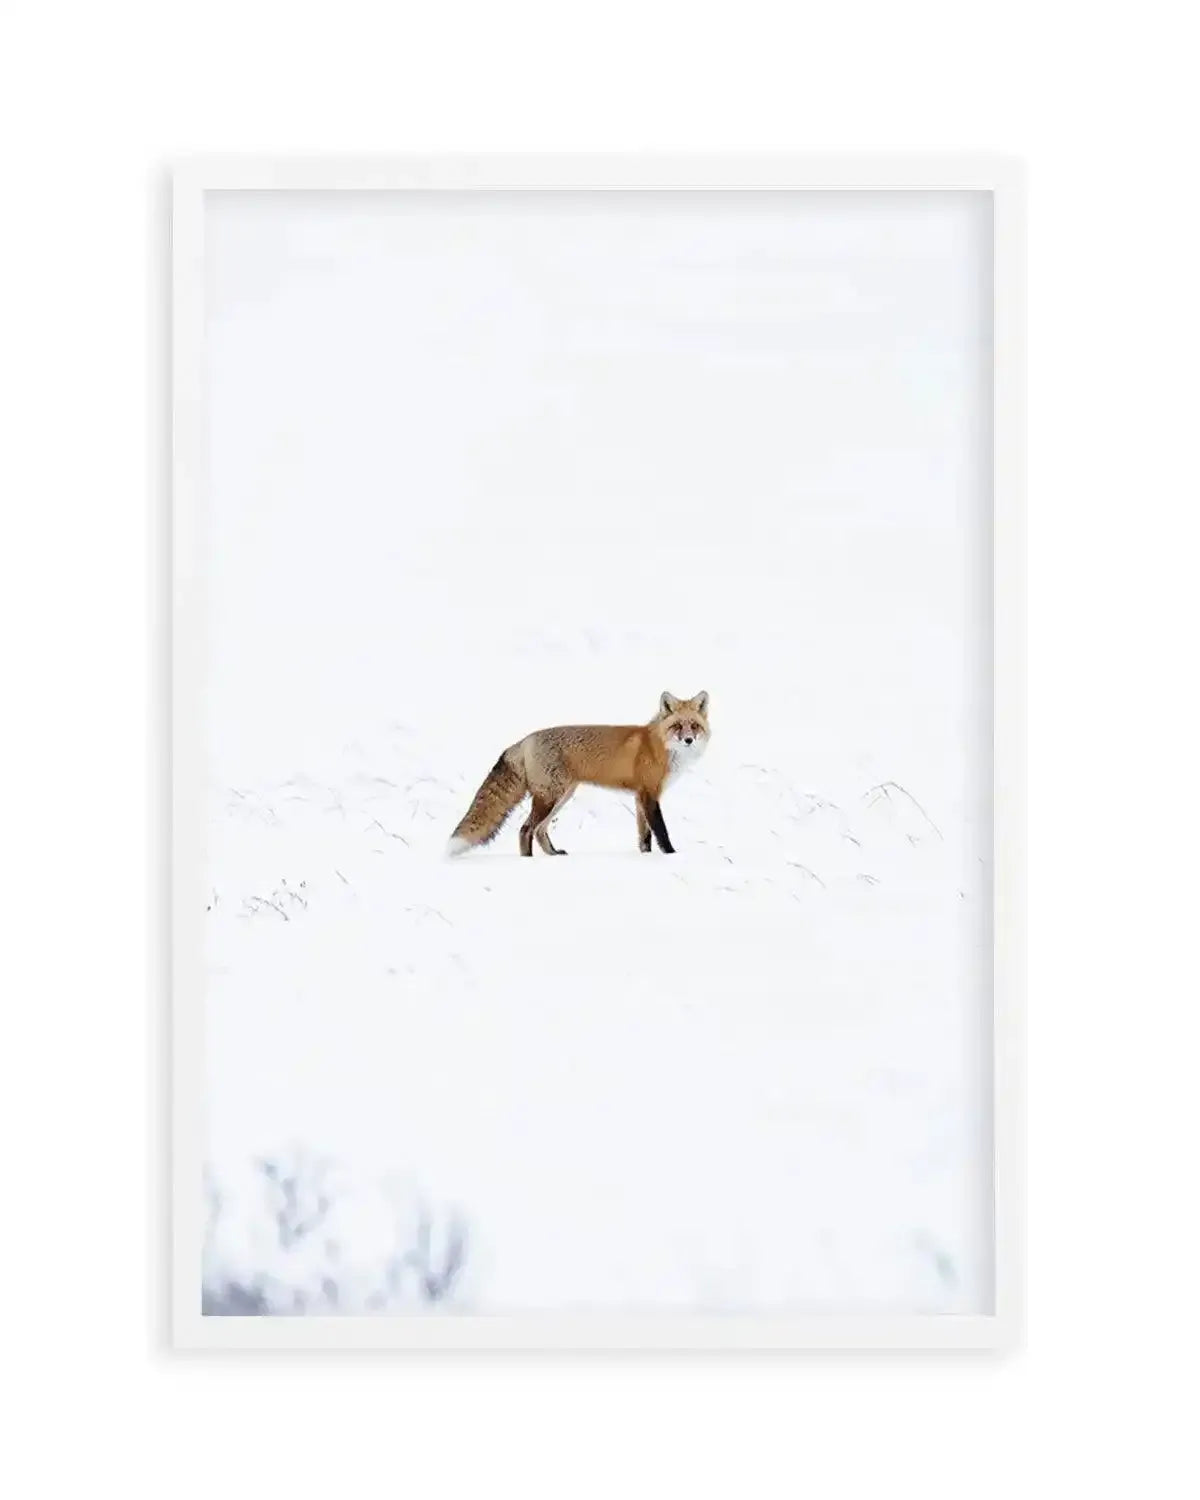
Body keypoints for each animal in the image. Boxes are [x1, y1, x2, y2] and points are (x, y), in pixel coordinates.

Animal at [447, 691, 710, 857]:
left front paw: (646, 857)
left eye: (694, 726)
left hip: (561, 797)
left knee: (539, 830)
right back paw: (528, 861)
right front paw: (671, 855)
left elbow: (644, 836)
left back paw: (553, 854)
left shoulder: (640, 797)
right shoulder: (649, 794)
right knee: (526, 829)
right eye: (677, 726)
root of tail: (525, 740)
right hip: (550, 797)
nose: (688, 740)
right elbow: (661, 832)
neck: (660, 746)